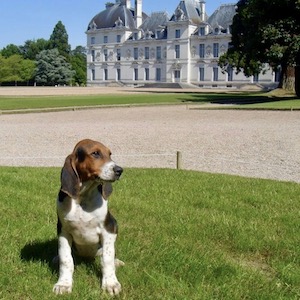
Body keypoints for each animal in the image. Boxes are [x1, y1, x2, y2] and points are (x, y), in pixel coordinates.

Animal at [53, 138, 123, 296]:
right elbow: (66, 260)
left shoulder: (109, 230)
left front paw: (110, 283)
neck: (83, 197)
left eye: (110, 154)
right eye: (95, 153)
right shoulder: (63, 232)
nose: (119, 170)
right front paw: (64, 284)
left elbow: (107, 259)